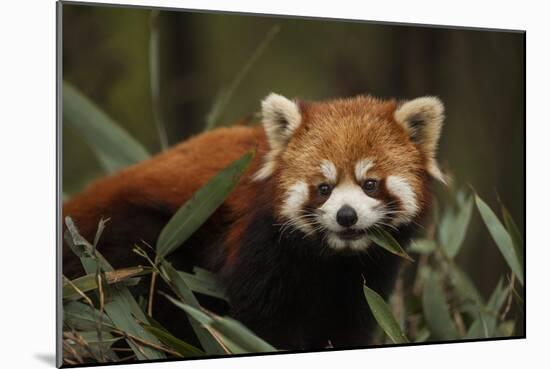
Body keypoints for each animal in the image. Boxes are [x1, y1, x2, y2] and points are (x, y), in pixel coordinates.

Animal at [62, 93, 446, 350]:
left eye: (370, 184)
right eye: (323, 188)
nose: (346, 216)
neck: (331, 259)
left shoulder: (367, 276)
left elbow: (350, 321)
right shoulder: (260, 245)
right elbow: (264, 321)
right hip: (136, 239)